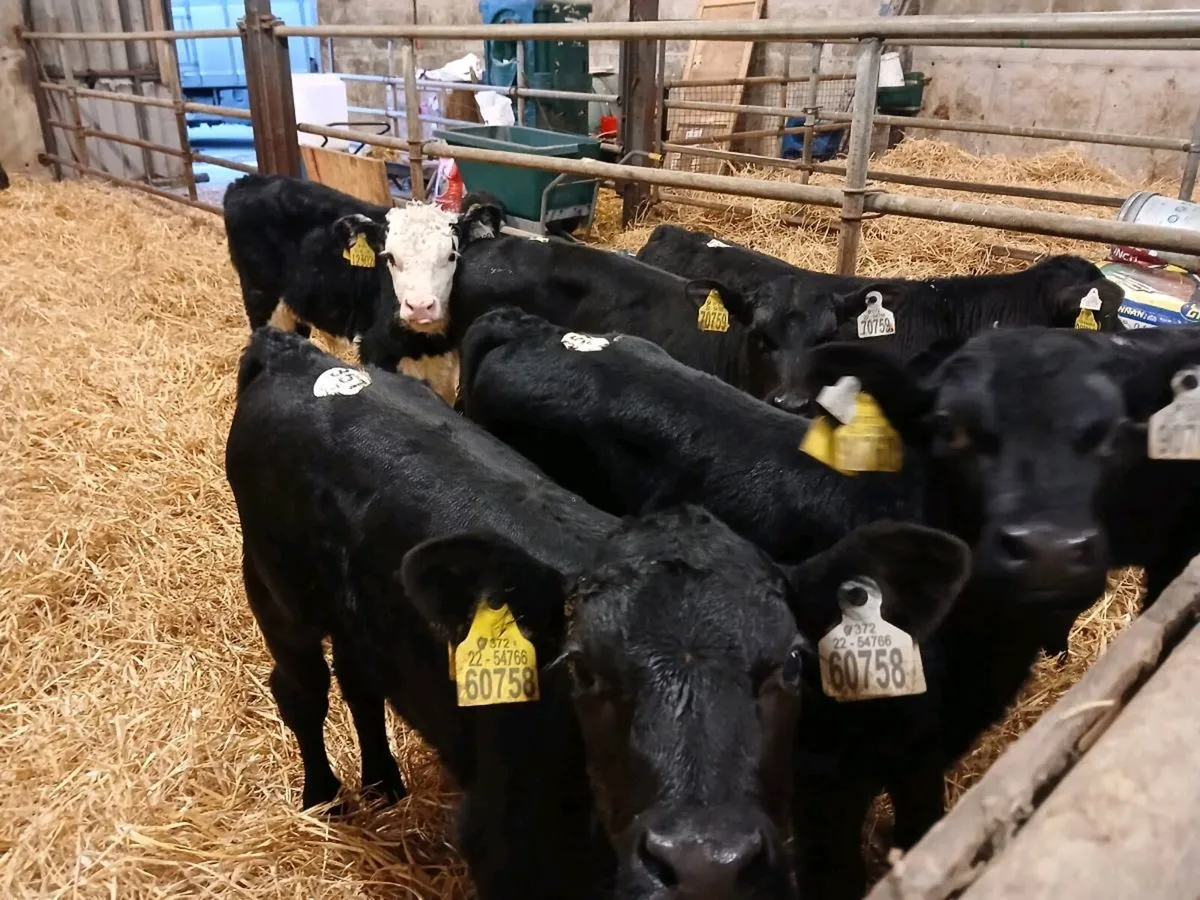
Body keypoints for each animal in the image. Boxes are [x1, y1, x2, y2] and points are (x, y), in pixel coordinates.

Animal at [222, 174, 502, 398]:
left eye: (452, 255)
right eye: (390, 257)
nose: (420, 306)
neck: (425, 343)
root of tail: (247, 181)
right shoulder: (376, 350)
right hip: (262, 300)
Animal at [225, 326, 970, 900]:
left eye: (791, 665)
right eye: (580, 669)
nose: (704, 867)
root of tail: (295, 354)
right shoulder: (502, 851)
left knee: (361, 679)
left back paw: (383, 781)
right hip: (276, 592)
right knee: (301, 690)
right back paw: (323, 796)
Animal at [456, 308, 1184, 898]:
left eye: (1117, 433)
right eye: (950, 429)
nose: (1049, 548)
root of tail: (531, 327)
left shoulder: (922, 753)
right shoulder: (827, 773)